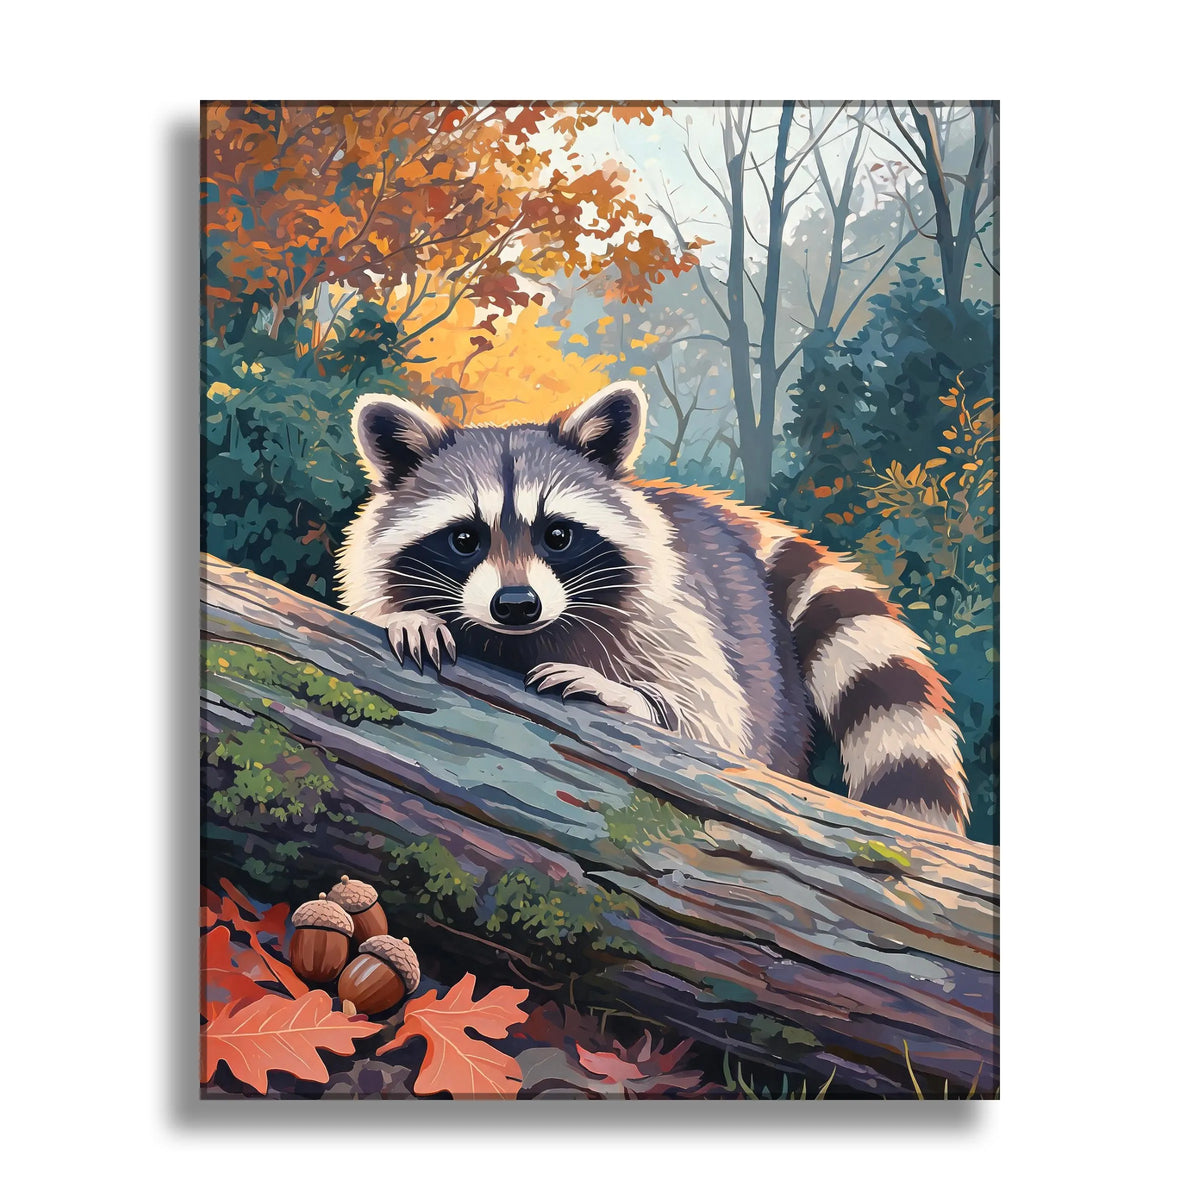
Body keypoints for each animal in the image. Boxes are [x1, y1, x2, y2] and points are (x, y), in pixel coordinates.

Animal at [337, 381, 969, 833]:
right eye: (465, 539)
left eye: (557, 535)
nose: (516, 604)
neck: (515, 639)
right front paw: (408, 617)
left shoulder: (667, 616)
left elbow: (714, 725)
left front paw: (629, 697)